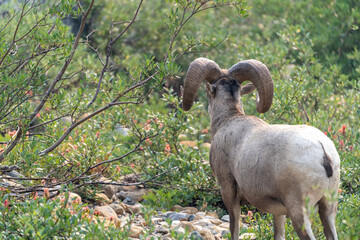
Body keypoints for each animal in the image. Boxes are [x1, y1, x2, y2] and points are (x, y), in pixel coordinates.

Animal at [183, 58, 340, 240]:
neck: (228, 120)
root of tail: (323, 152)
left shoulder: (228, 190)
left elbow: (234, 227)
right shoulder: (279, 211)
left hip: (299, 212)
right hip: (328, 208)